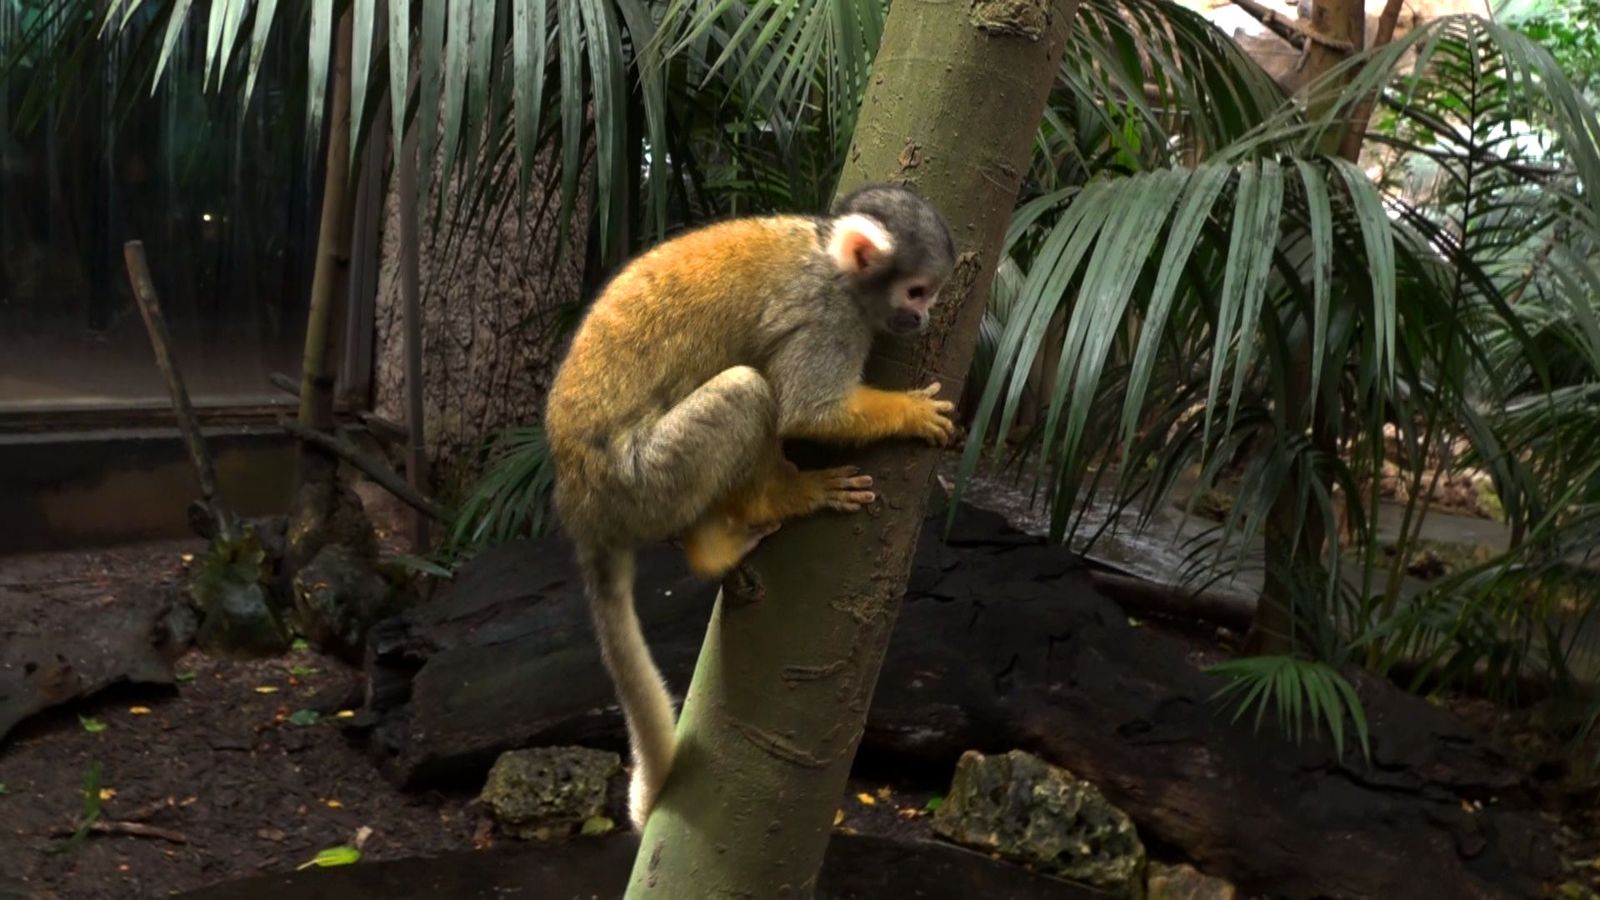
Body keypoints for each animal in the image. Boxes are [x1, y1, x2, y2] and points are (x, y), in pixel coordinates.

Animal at [544, 183, 959, 830]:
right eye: (916, 291)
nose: (922, 318)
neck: (829, 257)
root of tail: (579, 502)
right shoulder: (828, 317)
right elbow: (808, 410)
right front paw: (909, 413)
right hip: (645, 477)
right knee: (748, 390)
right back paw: (766, 505)